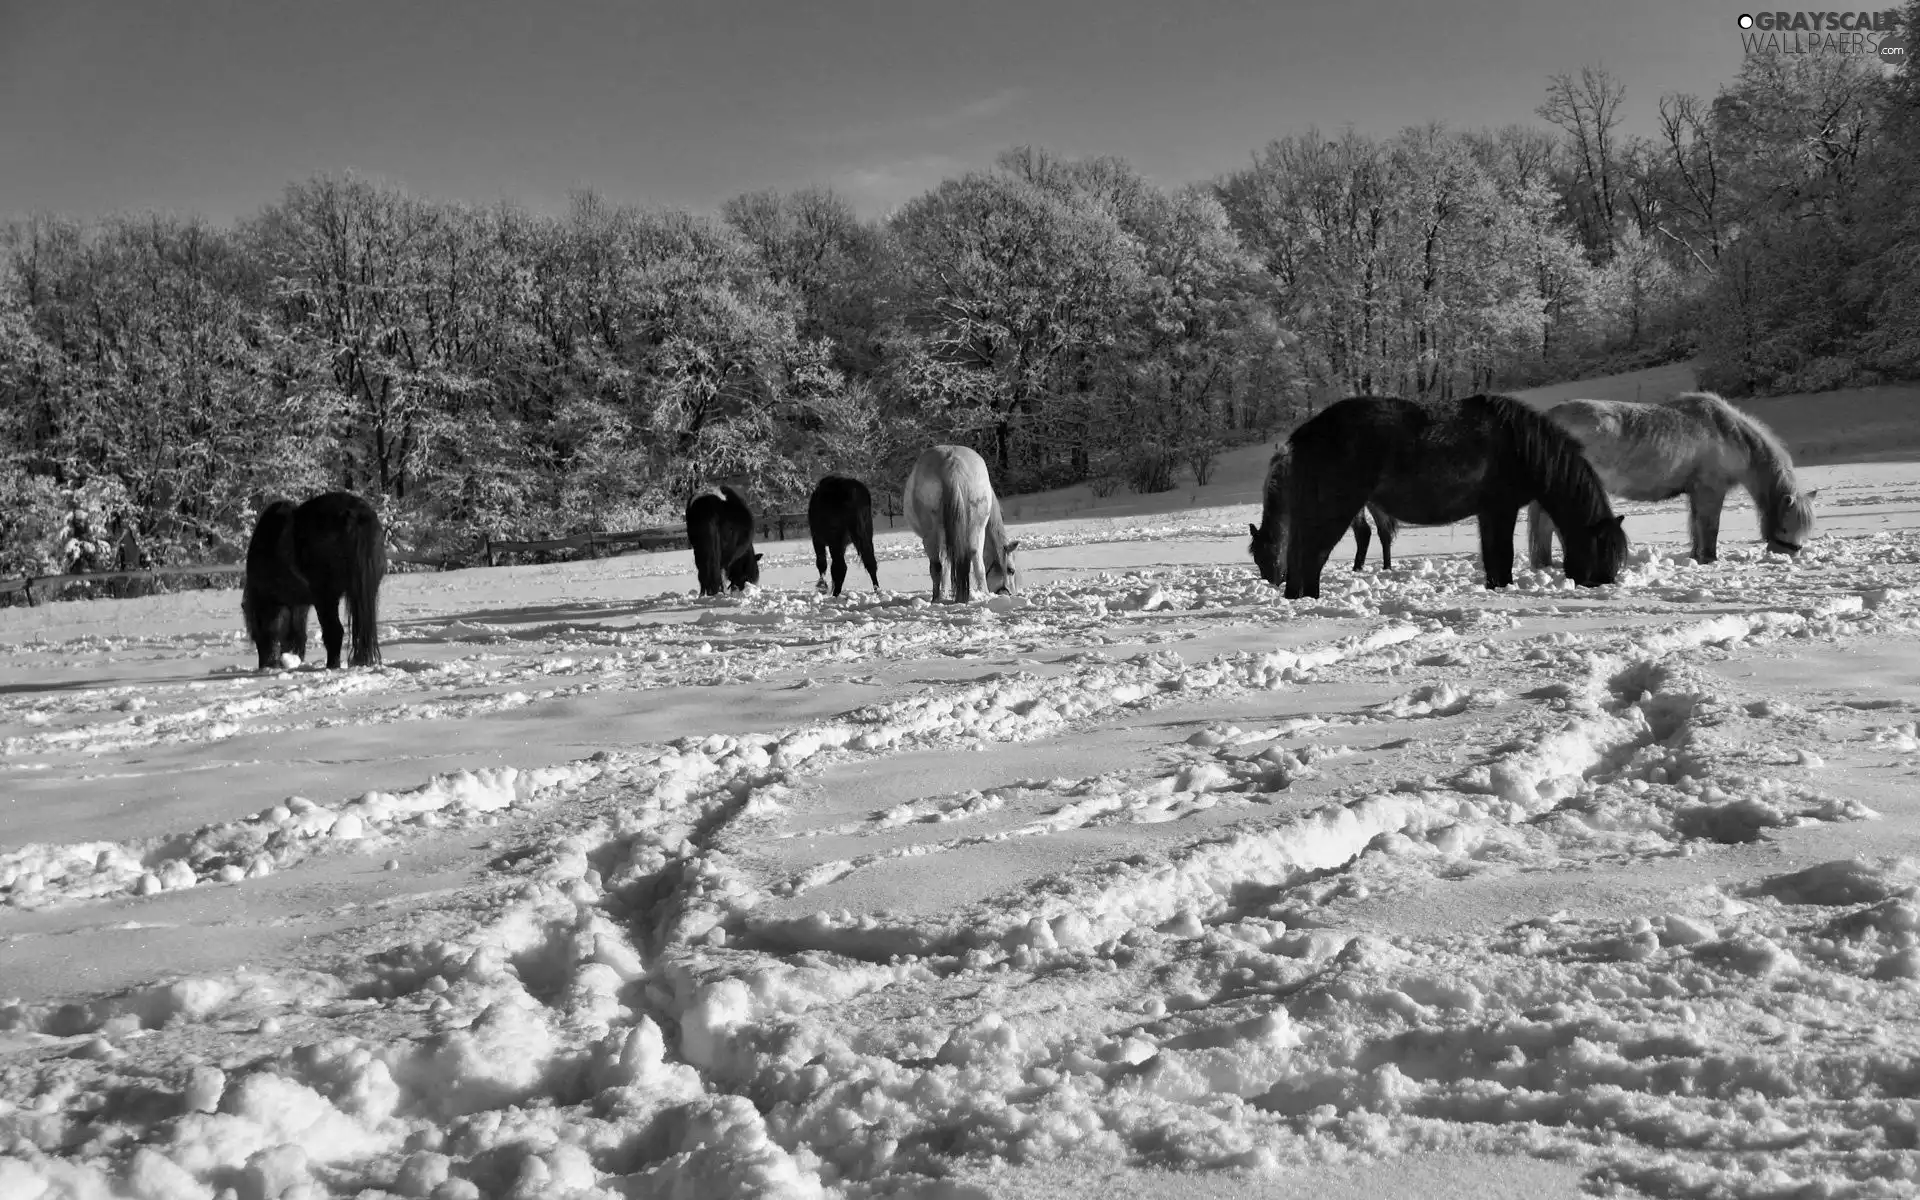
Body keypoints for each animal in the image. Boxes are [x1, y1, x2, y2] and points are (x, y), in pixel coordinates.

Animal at [243, 489, 385, 675]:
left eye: (256, 631)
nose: (266, 665)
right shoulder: (299, 604)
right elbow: (298, 634)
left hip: (325, 598)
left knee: (334, 631)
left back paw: (332, 666)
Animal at [1282, 393, 1628, 599]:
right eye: (1602, 551)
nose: (1605, 584)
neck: (1521, 447)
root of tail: (1307, 433)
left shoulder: (1488, 513)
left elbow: (1493, 559)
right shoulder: (1501, 510)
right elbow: (1502, 557)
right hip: (1335, 511)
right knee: (1313, 558)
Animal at [1520, 387, 1820, 564]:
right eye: (1786, 526)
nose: (1788, 556)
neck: (1729, 435)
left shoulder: (1696, 492)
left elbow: (1696, 527)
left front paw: (1696, 557)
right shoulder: (1711, 490)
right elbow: (1709, 528)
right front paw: (1710, 559)